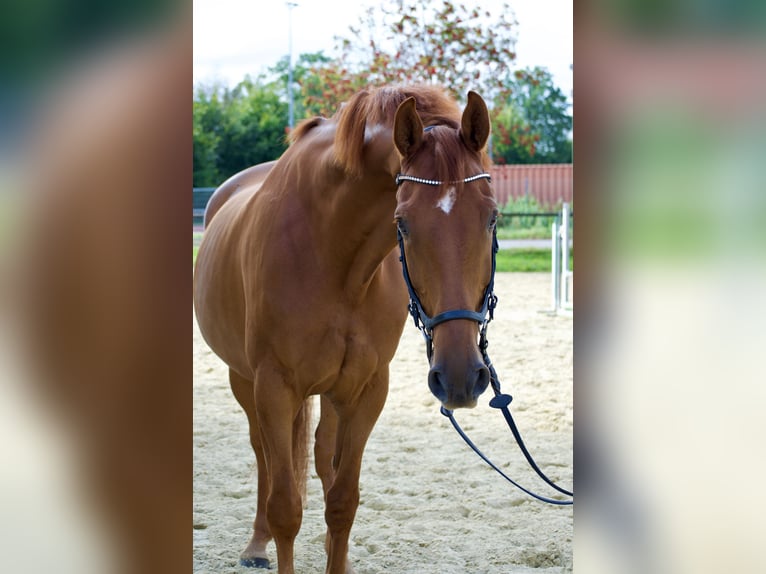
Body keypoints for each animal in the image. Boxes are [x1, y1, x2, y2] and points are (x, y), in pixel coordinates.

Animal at [194, 86, 498, 574]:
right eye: (402, 222)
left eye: (491, 218)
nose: (460, 378)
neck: (333, 256)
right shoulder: (274, 387)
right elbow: (285, 507)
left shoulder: (367, 390)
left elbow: (342, 500)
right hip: (243, 379)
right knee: (263, 455)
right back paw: (256, 546)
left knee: (321, 456)